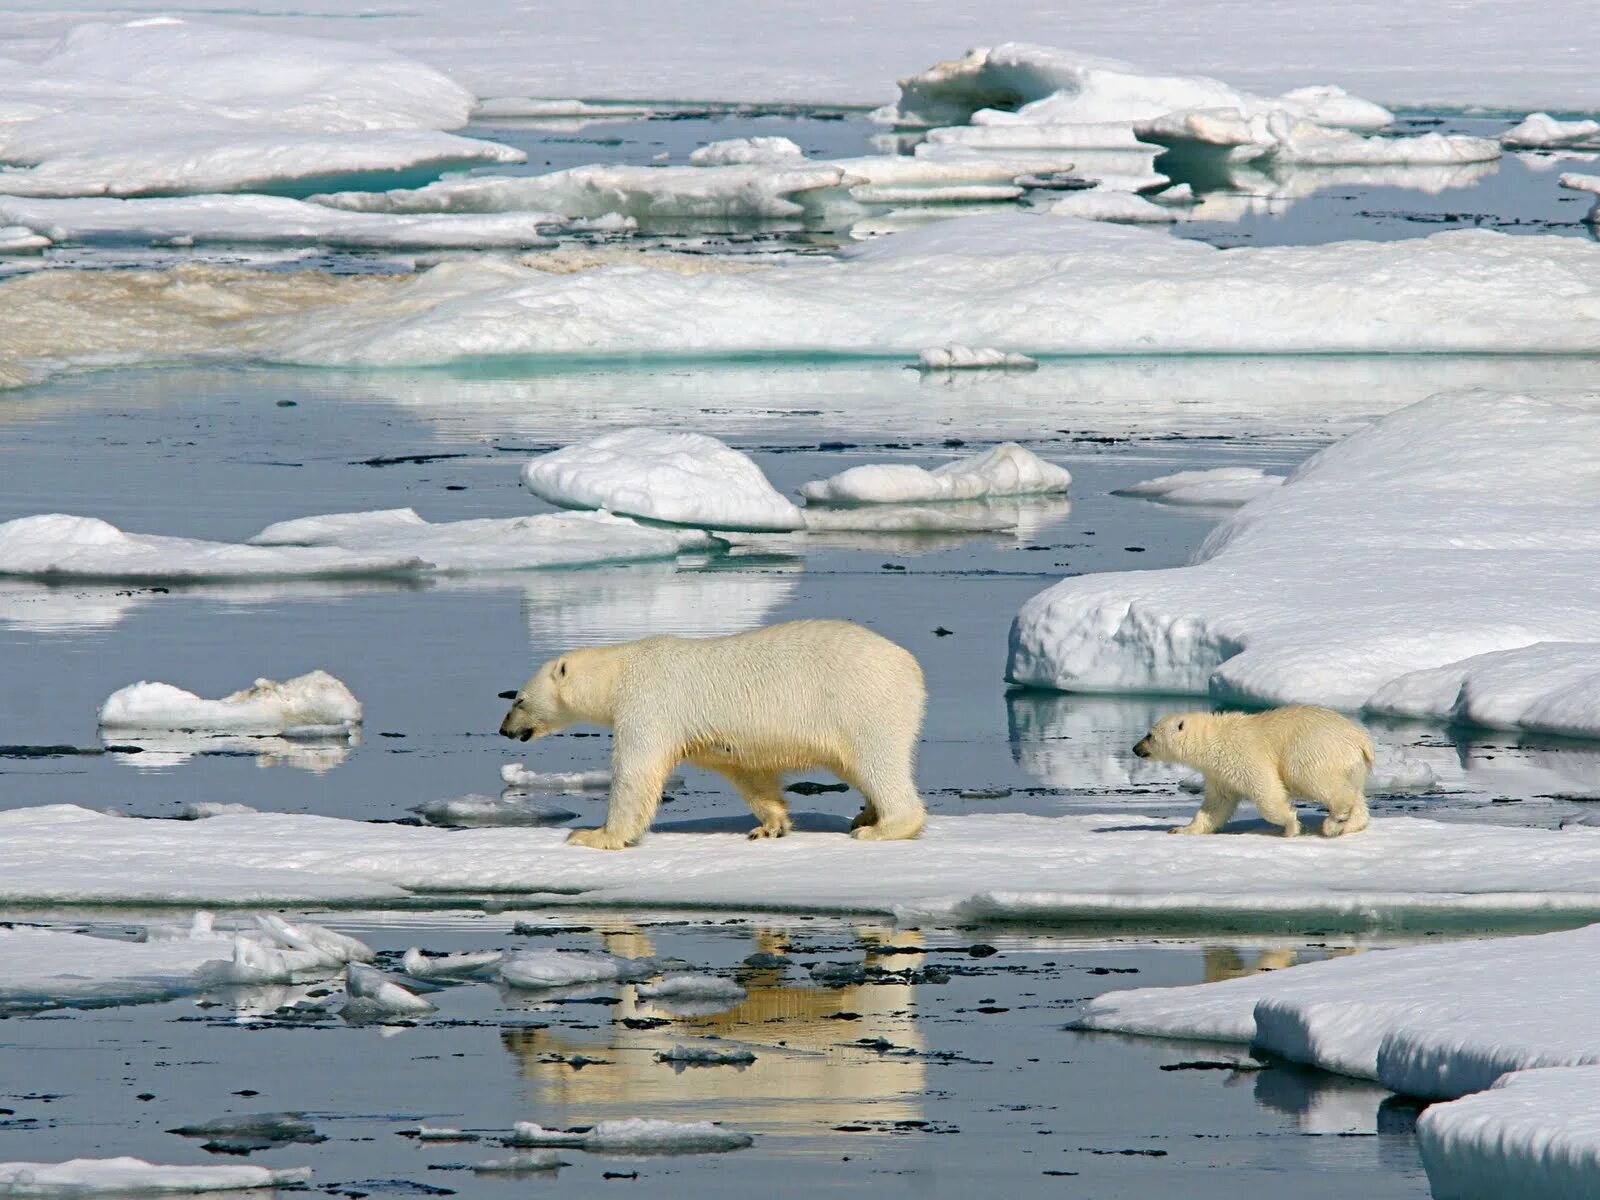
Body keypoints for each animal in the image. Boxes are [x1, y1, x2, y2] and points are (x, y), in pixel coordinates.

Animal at [496, 624, 928, 851]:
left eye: (518, 698)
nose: (504, 729)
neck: (620, 671)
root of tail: (912, 666)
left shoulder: (650, 703)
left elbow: (636, 771)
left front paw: (592, 835)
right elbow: (747, 772)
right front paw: (770, 826)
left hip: (862, 703)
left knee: (876, 761)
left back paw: (880, 827)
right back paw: (865, 814)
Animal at [1126, 710, 1376, 838]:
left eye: (1149, 735)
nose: (1135, 748)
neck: (1213, 740)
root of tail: (1361, 739)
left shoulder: (1242, 754)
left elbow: (1265, 789)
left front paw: (1290, 826)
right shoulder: (1218, 773)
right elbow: (1217, 804)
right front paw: (1182, 829)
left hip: (1313, 749)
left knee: (1310, 777)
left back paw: (1335, 819)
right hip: (1353, 764)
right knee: (1355, 793)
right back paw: (1347, 825)